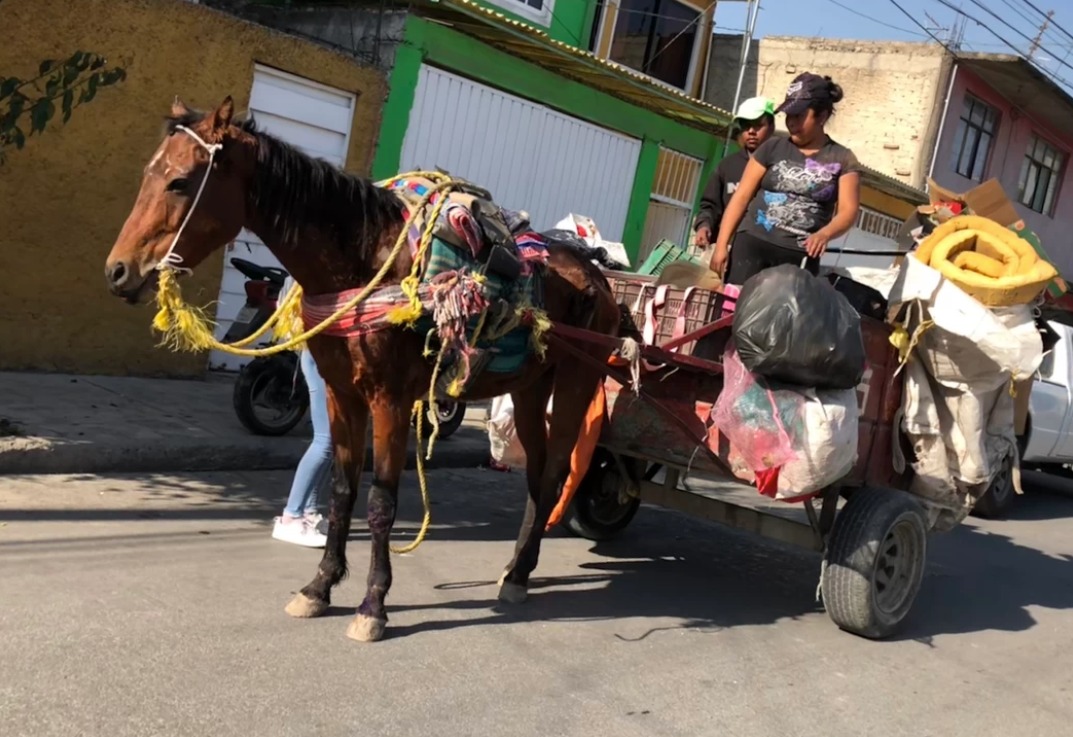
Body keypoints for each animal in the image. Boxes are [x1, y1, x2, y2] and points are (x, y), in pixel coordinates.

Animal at [102, 96, 622, 639]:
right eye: (149, 174)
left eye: (181, 182)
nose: (118, 271)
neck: (365, 262)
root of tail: (596, 277)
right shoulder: (340, 395)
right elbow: (341, 492)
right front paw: (319, 587)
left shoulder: (389, 400)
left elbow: (380, 503)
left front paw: (373, 603)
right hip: (528, 388)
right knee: (537, 472)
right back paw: (517, 569)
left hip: (576, 384)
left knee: (556, 471)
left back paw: (520, 573)